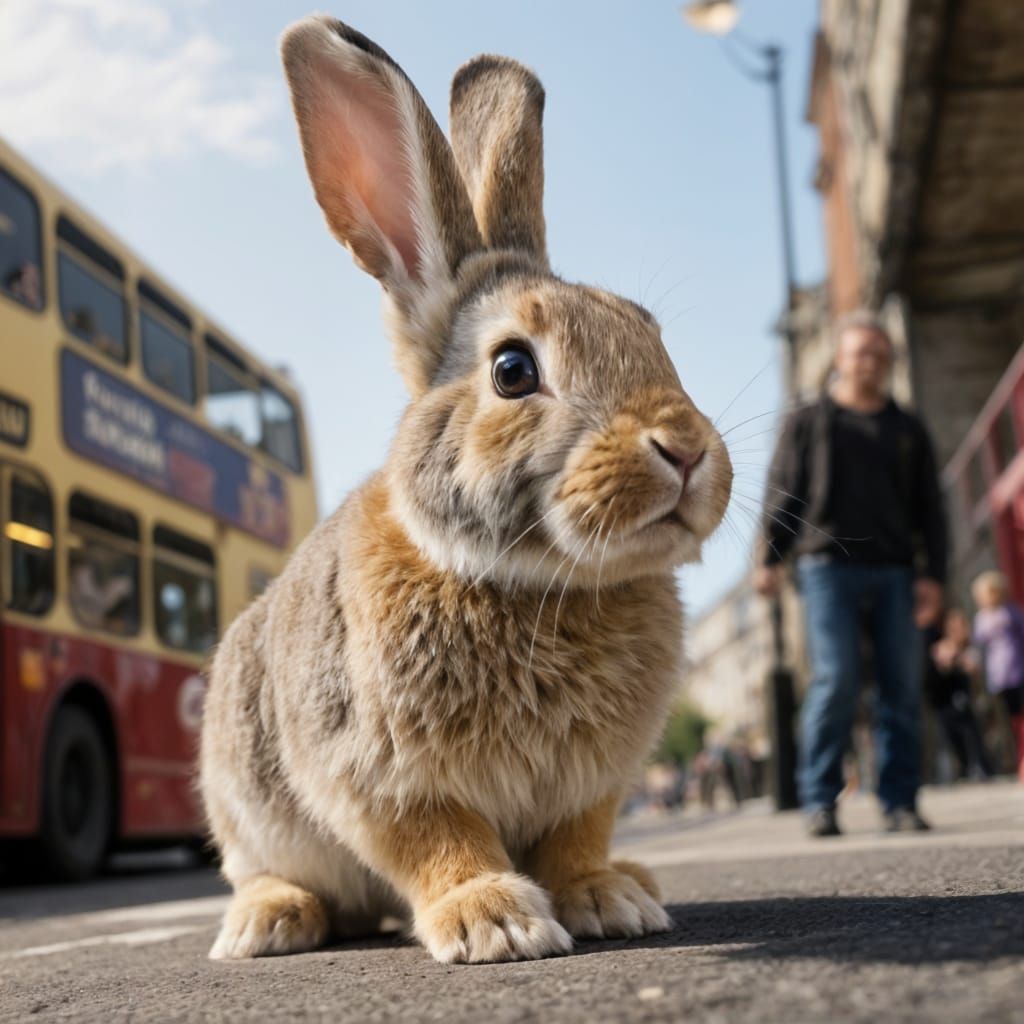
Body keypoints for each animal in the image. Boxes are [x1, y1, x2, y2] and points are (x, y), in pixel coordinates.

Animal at [199, 14, 733, 966]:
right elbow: (438, 838)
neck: (534, 581)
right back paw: (269, 921)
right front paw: (495, 920)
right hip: (241, 798)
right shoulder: (381, 772)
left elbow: (575, 838)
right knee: (263, 870)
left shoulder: (589, 786)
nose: (686, 449)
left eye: (650, 335)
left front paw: (605, 898)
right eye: (513, 370)